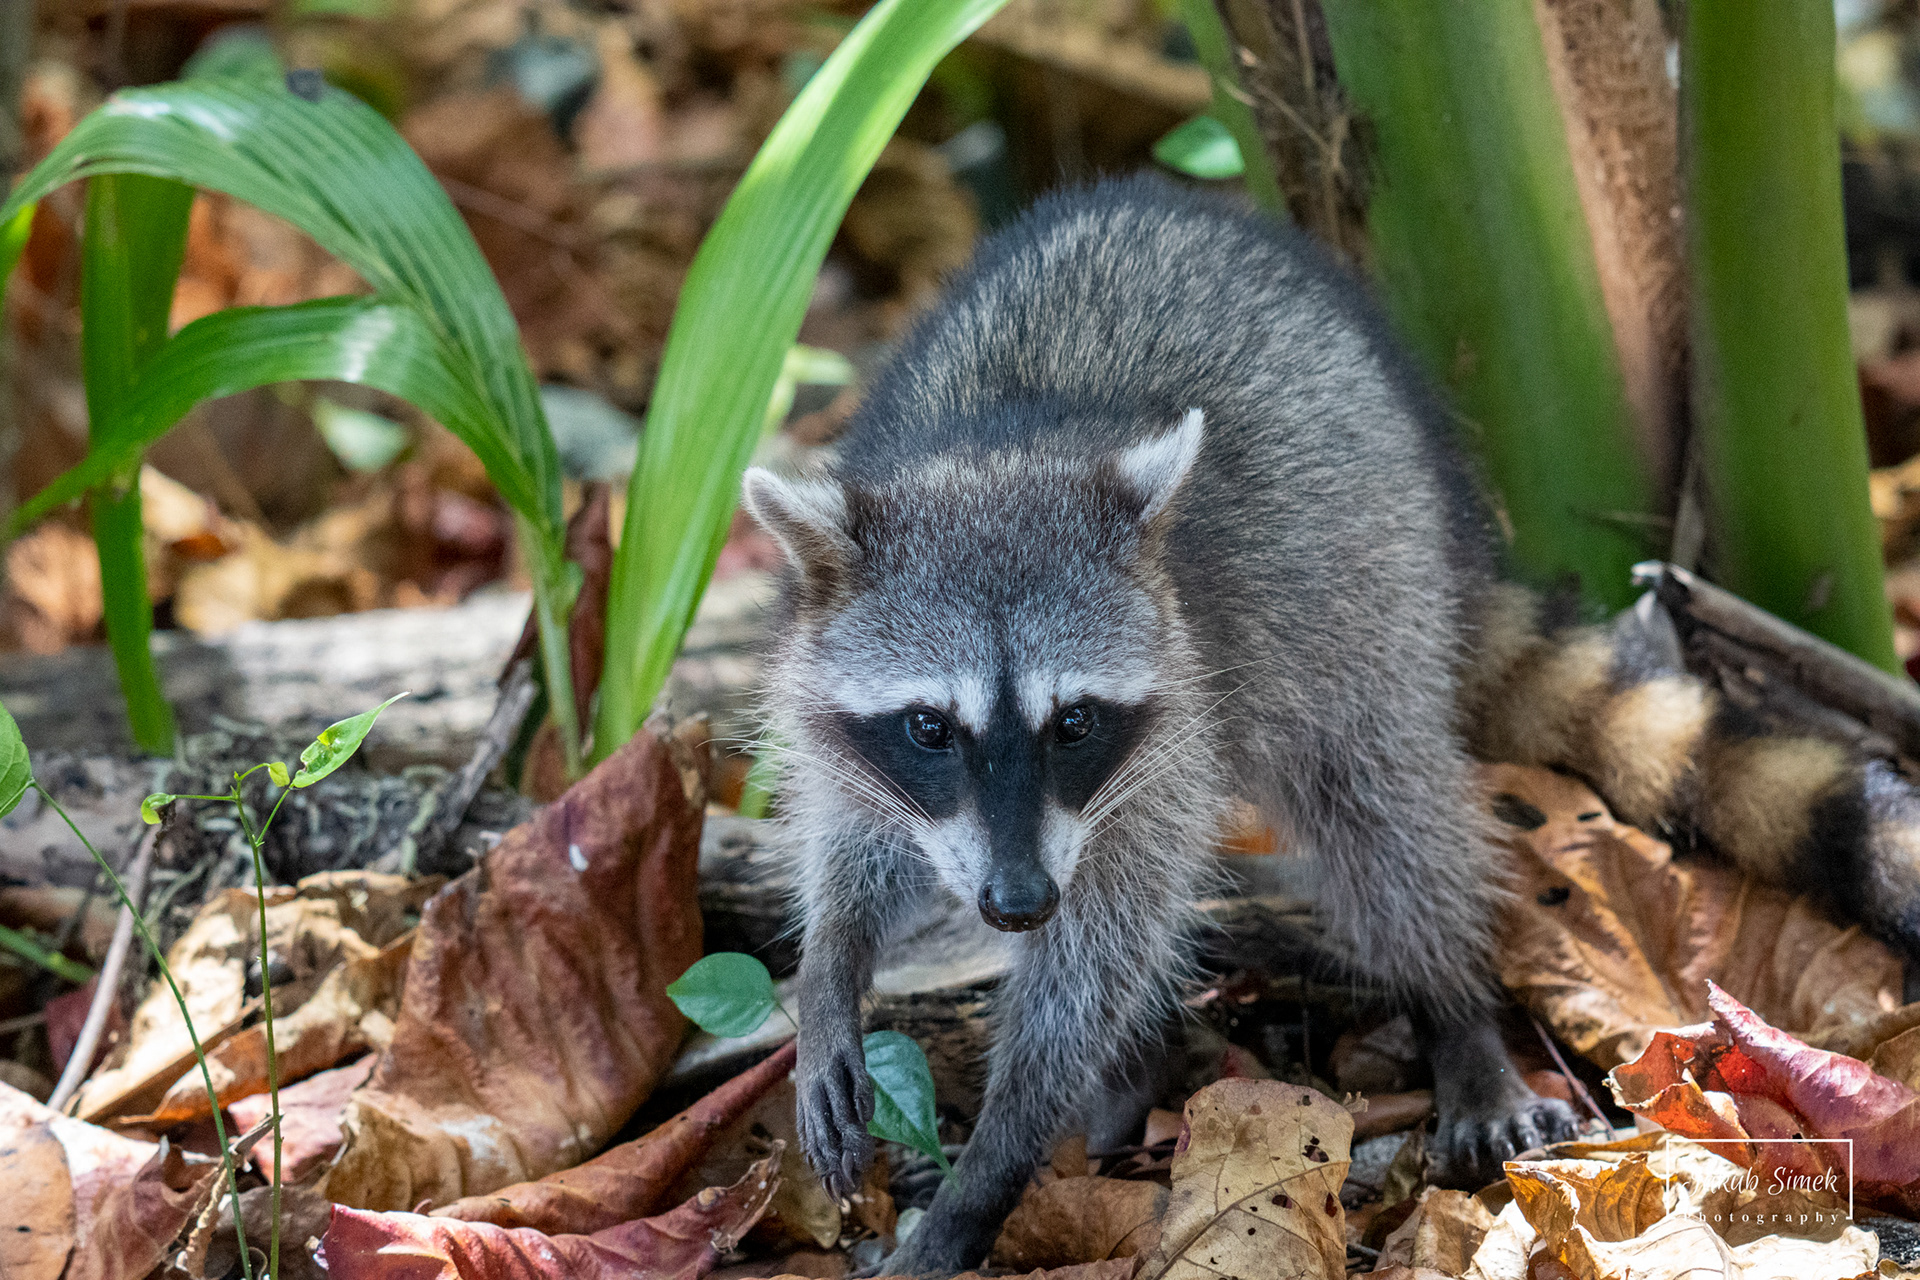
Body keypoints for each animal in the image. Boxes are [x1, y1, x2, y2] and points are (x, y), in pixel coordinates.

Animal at [741, 175, 1920, 1272]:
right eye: (930, 728)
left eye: (1072, 720)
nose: (1016, 903)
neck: (998, 455)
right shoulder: (849, 718)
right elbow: (853, 844)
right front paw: (832, 967)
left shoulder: (1160, 748)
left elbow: (1100, 953)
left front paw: (988, 1166)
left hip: (1367, 579)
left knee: (1385, 810)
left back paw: (1453, 1013)